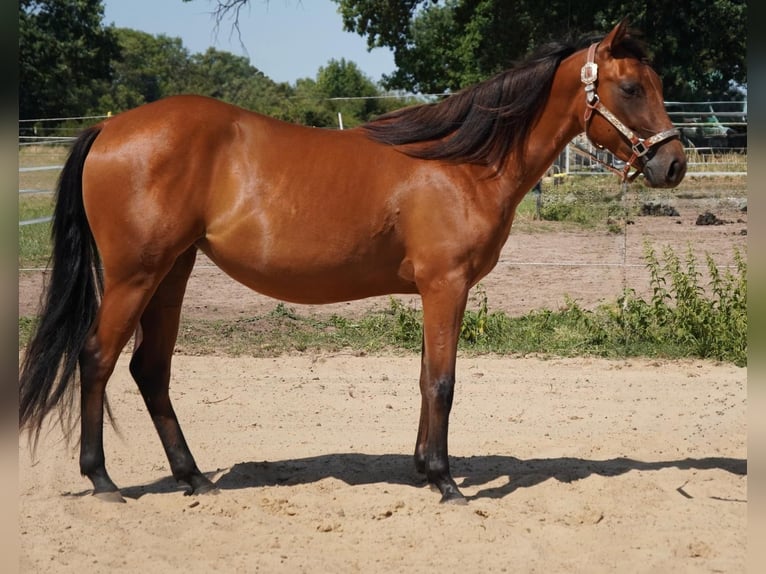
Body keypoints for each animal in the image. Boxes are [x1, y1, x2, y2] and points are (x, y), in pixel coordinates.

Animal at [19, 20, 686, 504]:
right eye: (632, 88)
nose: (674, 163)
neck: (460, 162)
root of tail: (107, 129)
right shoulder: (447, 285)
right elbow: (443, 381)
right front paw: (446, 482)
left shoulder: (434, 291)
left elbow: (424, 377)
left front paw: (422, 468)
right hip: (134, 276)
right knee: (97, 359)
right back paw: (103, 480)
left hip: (172, 273)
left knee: (149, 370)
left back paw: (194, 477)